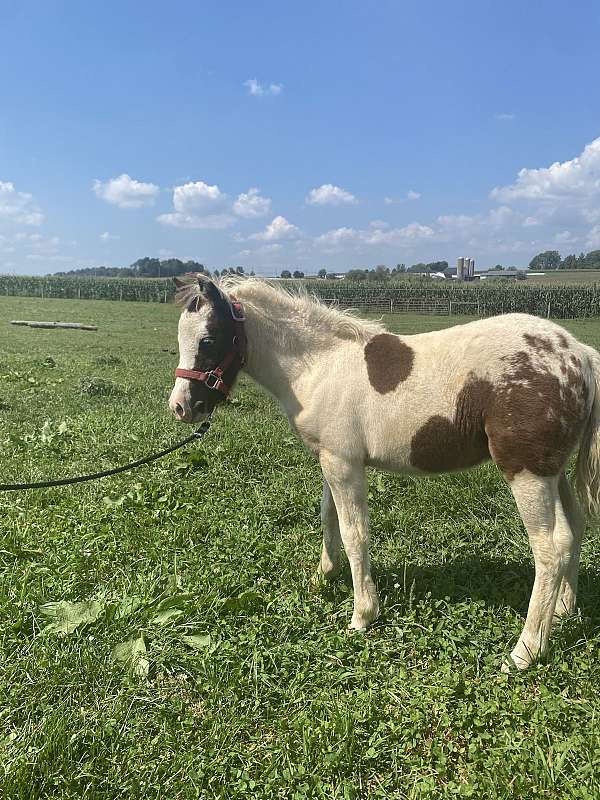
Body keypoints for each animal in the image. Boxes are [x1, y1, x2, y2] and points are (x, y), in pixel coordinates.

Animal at [168, 276, 600, 668]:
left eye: (208, 340)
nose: (181, 407)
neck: (319, 365)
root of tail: (578, 351)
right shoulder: (331, 458)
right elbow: (328, 517)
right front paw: (323, 576)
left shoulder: (344, 463)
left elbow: (354, 533)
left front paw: (362, 615)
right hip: (552, 471)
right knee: (574, 529)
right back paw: (564, 610)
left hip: (526, 471)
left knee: (550, 548)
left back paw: (526, 651)